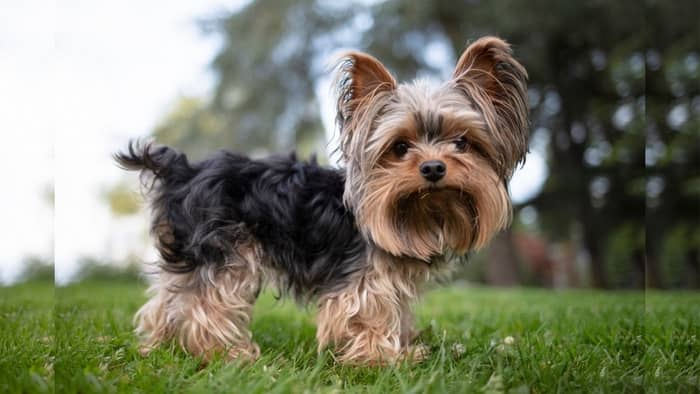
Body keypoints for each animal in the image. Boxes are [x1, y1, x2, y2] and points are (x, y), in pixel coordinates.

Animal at [115, 36, 528, 364]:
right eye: (400, 147)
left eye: (462, 143)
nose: (433, 168)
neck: (418, 213)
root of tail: (183, 170)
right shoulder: (362, 281)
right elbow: (367, 315)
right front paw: (384, 359)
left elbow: (396, 312)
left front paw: (406, 348)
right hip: (223, 252)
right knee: (204, 303)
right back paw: (225, 354)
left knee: (168, 300)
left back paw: (160, 348)